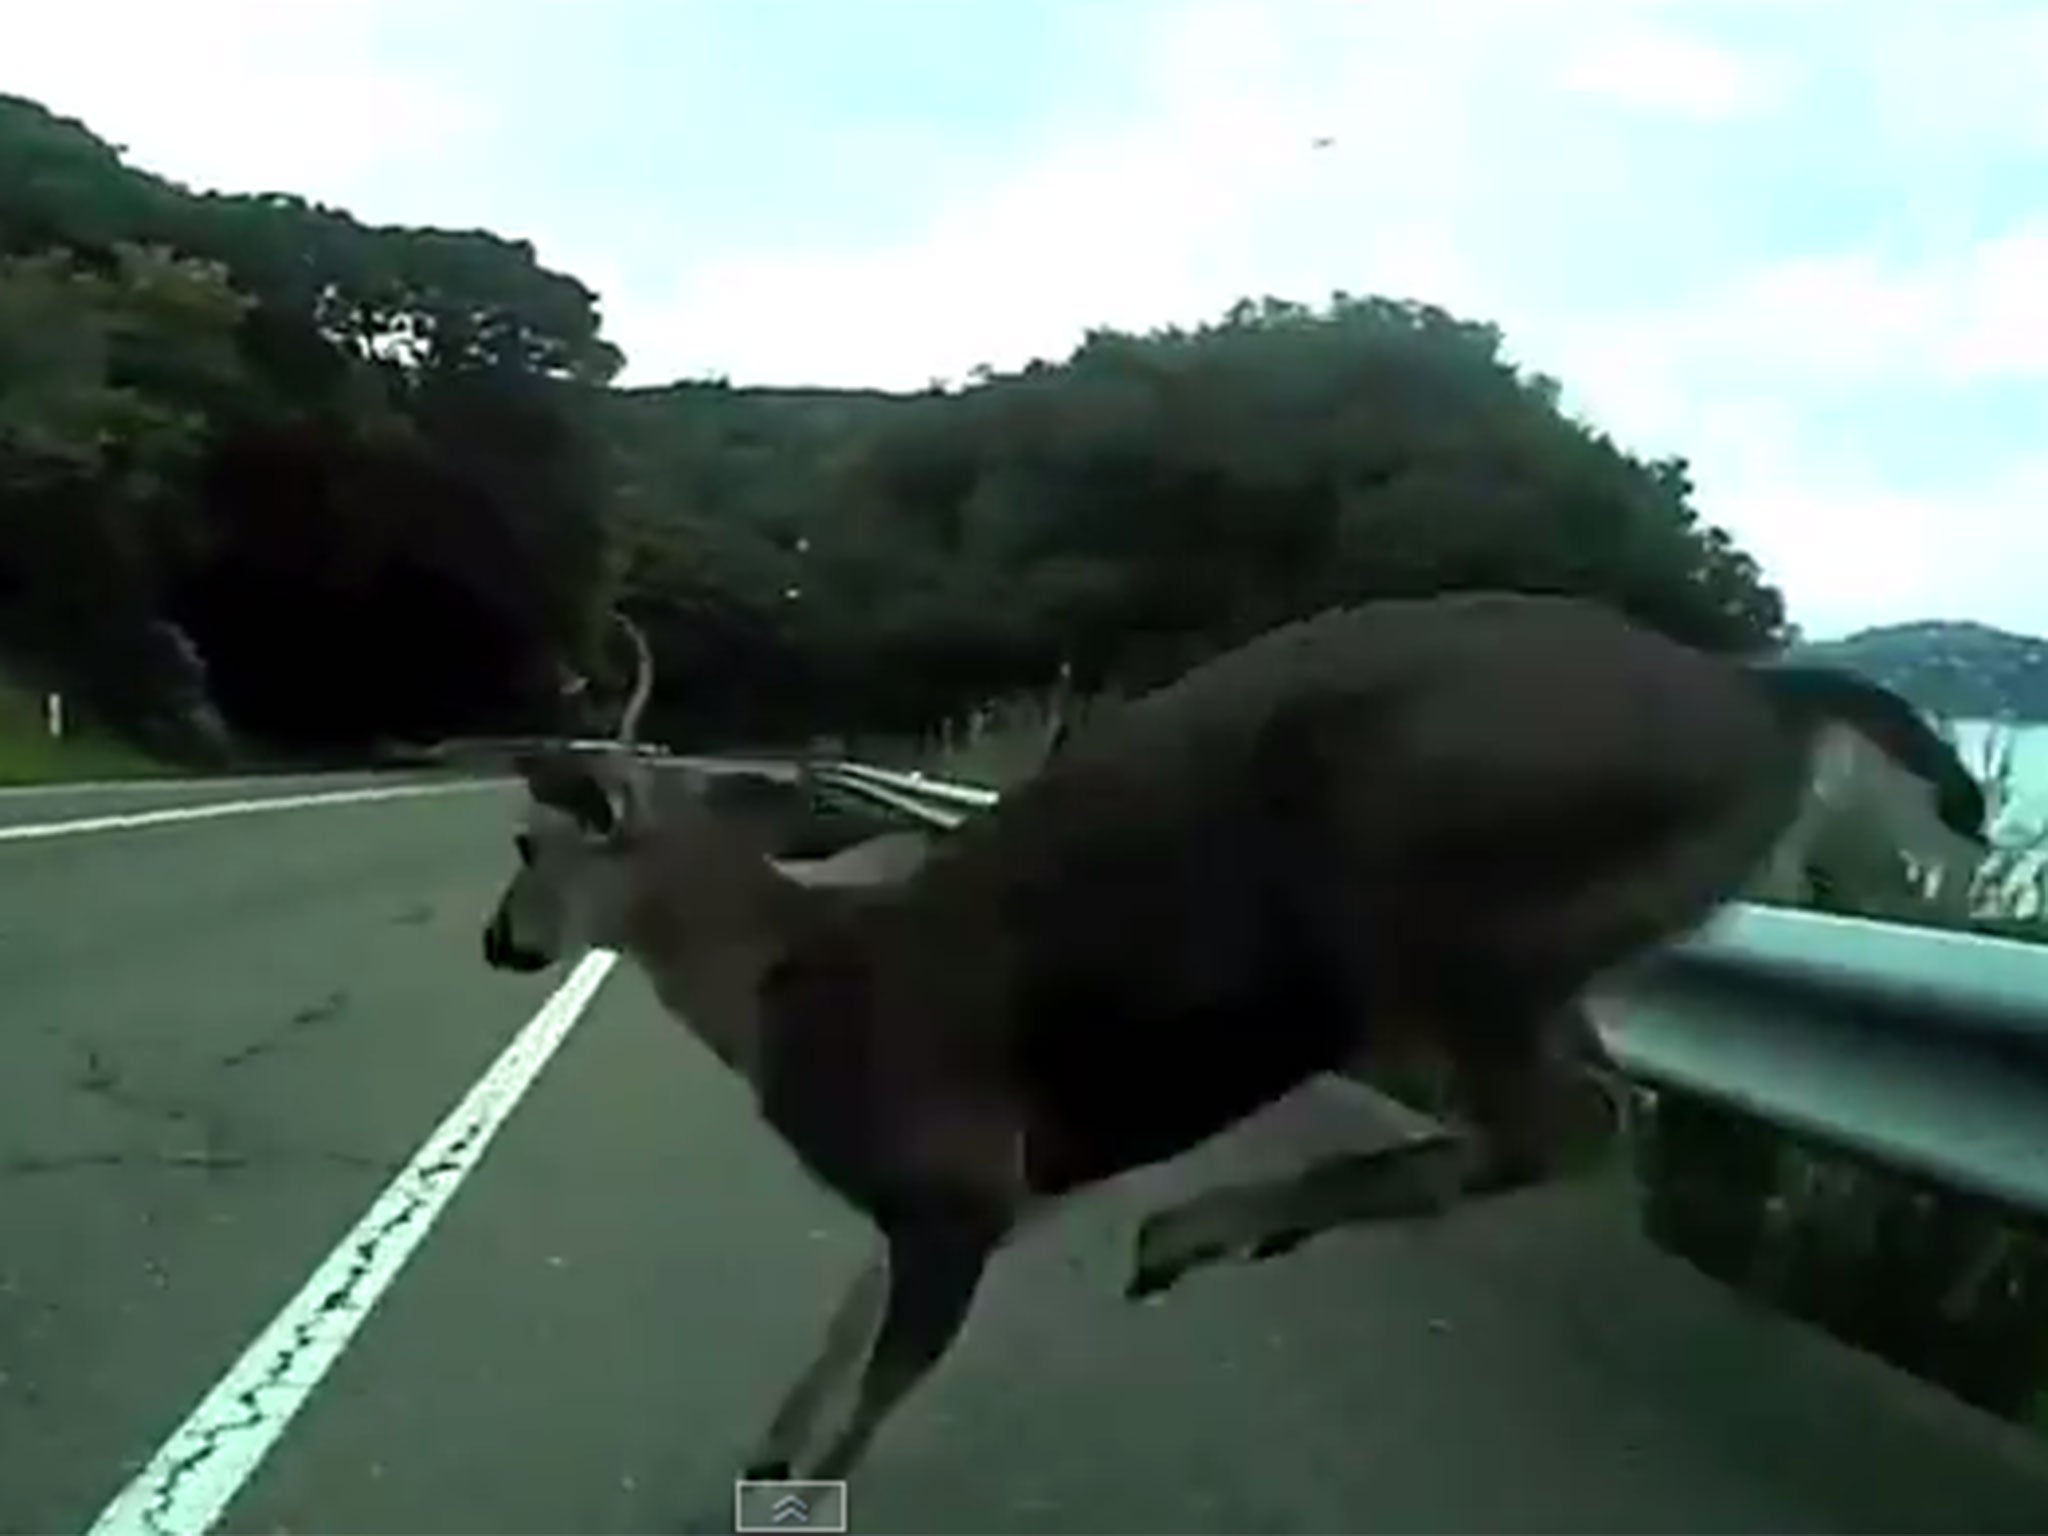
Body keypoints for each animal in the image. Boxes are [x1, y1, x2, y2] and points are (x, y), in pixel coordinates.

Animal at [475, 593, 1982, 1507]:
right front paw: (767, 1449)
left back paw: (1199, 1228)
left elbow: (885, 1377)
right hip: (1547, 935)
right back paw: (1222, 1229)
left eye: (532, 846)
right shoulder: (987, 1189)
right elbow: (841, 1330)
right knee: (1575, 1114)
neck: (787, 987)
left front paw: (797, 1478)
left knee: (1562, 1122)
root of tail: (1766, 698)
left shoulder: (955, 1178)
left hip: (1431, 884)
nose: (501, 943)